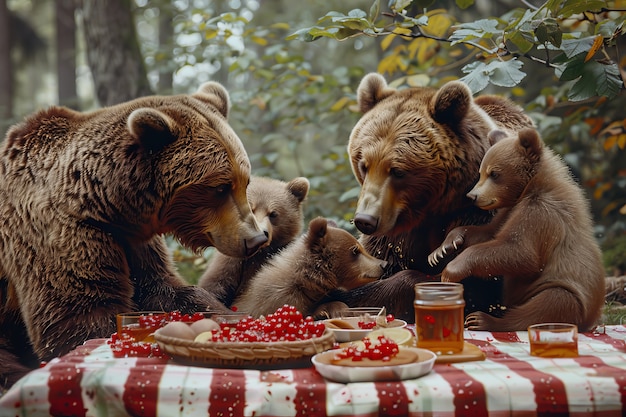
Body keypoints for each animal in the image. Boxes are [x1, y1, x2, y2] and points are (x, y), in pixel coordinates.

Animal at [0, 82, 266, 390]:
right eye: (220, 187)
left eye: (245, 181)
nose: (256, 239)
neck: (105, 204)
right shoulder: (63, 232)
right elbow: (80, 314)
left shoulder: (135, 241)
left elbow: (162, 287)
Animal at [322, 73, 532, 320]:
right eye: (364, 165)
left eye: (397, 171)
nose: (365, 220)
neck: (431, 209)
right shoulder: (395, 235)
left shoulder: (479, 211)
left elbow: (478, 283)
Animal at [426, 128, 604, 330]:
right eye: (481, 172)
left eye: (494, 173)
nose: (472, 196)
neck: (531, 187)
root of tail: (591, 321)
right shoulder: (509, 210)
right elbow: (488, 233)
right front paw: (443, 249)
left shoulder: (541, 213)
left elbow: (519, 251)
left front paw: (451, 270)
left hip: (565, 293)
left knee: (551, 303)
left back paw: (483, 320)